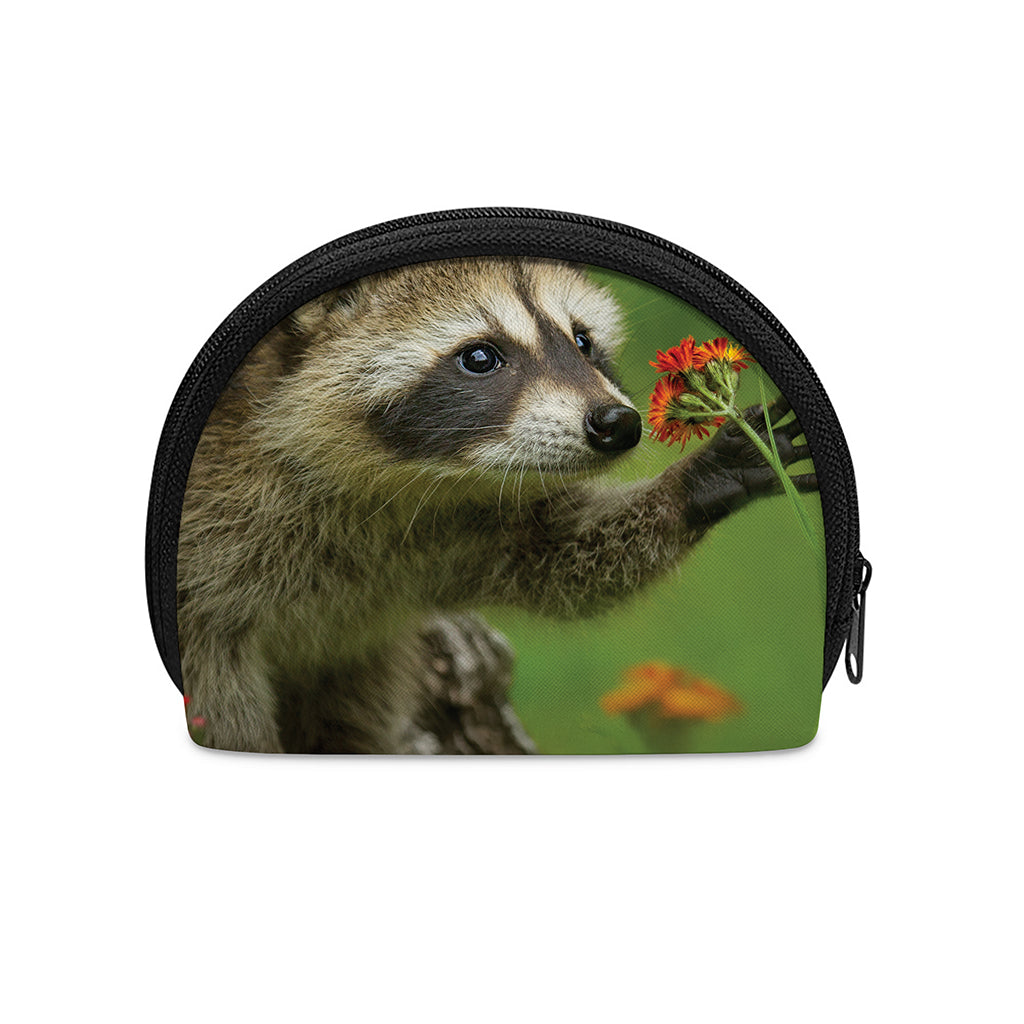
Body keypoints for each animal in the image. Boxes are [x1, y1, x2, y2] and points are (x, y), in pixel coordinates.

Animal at [178, 257, 814, 753]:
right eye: (480, 358)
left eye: (582, 341)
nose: (618, 424)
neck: (400, 483)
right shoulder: (209, 551)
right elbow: (219, 704)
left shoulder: (457, 524)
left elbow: (554, 556)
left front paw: (696, 482)